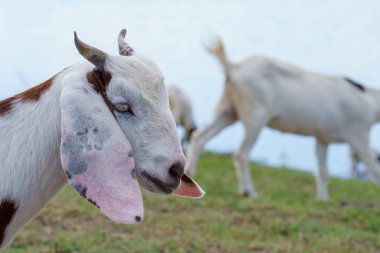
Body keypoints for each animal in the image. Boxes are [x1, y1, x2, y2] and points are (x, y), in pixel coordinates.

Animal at [186, 38, 380, 202]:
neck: (369, 99)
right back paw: (249, 192)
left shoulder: (322, 139)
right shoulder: (359, 135)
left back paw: (190, 174)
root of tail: (234, 67)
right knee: (241, 153)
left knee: (200, 136)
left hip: (228, 110)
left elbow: (323, 171)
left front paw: (323, 200)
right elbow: (374, 170)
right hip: (255, 117)